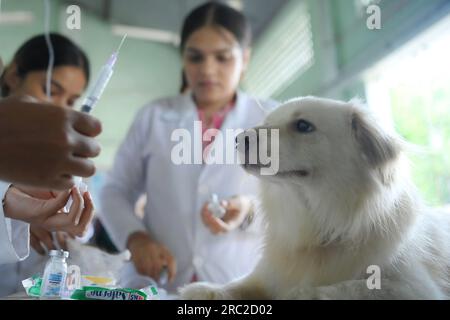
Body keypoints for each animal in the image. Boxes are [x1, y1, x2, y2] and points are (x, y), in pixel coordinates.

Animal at [179, 97, 450, 300]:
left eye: (303, 126)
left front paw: (300, 293)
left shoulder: (413, 287)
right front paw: (206, 290)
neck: (317, 227)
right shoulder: (267, 275)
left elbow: (349, 288)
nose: (239, 138)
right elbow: (240, 284)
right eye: (266, 123)